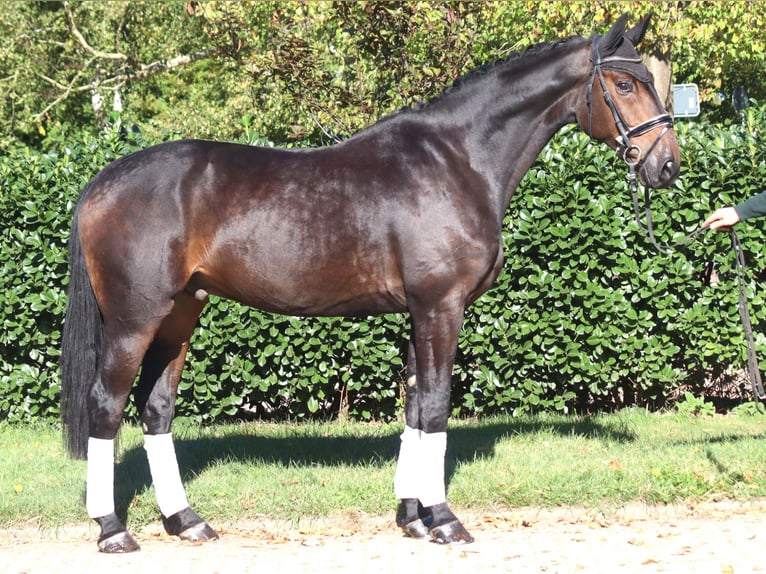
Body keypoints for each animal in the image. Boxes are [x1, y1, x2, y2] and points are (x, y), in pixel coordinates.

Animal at [60, 13, 679, 552]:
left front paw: (413, 517)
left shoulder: (418, 311)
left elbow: (415, 406)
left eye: (651, 80)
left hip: (181, 313)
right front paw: (445, 520)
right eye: (625, 83)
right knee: (106, 406)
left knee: (156, 409)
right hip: (135, 319)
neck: (457, 160)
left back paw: (186, 521)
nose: (667, 165)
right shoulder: (441, 306)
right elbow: (436, 406)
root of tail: (102, 181)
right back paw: (113, 530)